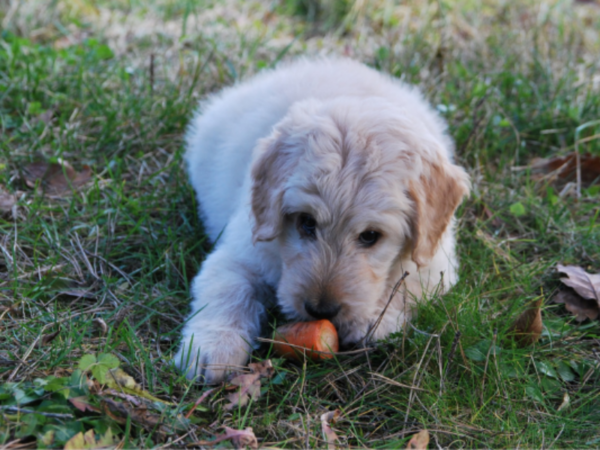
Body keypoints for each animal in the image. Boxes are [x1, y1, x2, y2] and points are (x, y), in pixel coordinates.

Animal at [173, 57, 468, 384]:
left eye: (370, 236)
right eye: (306, 222)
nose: (320, 310)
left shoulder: (436, 262)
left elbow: (407, 286)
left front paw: (372, 320)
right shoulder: (241, 251)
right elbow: (227, 291)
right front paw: (212, 348)